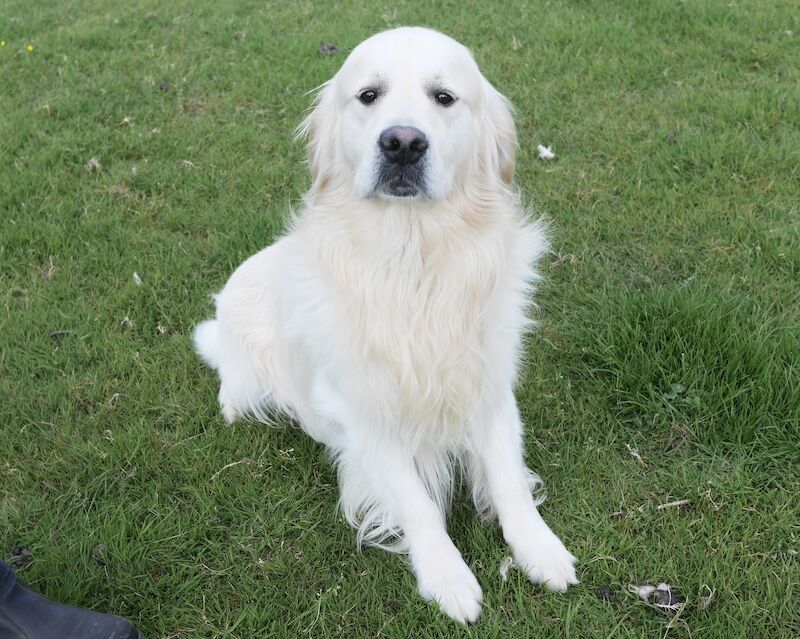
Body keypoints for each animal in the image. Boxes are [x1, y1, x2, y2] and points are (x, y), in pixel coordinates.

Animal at [195, 27, 580, 624]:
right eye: (368, 95)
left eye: (444, 97)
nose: (402, 143)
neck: (412, 262)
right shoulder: (366, 413)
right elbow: (417, 502)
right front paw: (448, 577)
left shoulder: (489, 387)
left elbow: (508, 478)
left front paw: (539, 548)